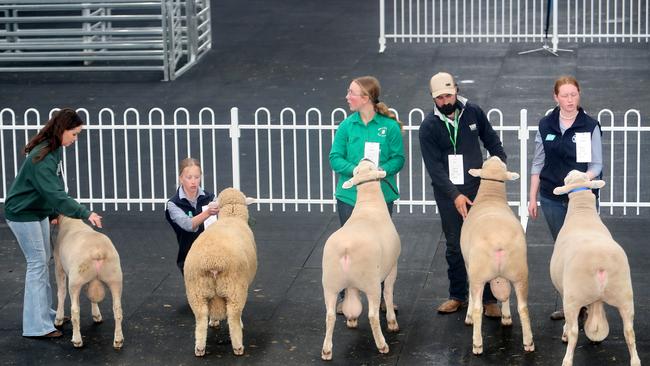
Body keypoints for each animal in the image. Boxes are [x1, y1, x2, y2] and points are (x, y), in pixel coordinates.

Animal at [53, 217, 124, 348]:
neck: (70, 221)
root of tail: (97, 251)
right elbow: (92, 297)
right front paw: (96, 315)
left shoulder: (58, 266)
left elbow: (61, 293)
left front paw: (58, 318)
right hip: (115, 278)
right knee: (117, 309)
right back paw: (118, 340)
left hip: (75, 281)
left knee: (75, 310)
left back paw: (77, 340)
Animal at [182, 189, 256, 358]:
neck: (231, 216)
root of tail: (213, 262)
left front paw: (214, 321)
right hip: (234, 289)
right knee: (233, 316)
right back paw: (238, 347)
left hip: (196, 291)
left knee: (201, 318)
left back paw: (200, 348)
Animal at [320, 159, 400, 360]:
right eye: (371, 168)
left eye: (356, 170)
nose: (366, 159)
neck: (369, 205)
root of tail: (346, 249)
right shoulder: (392, 266)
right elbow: (388, 292)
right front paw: (392, 322)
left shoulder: (352, 285)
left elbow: (353, 303)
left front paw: (352, 319)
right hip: (372, 283)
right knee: (372, 315)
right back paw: (382, 345)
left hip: (330, 284)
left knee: (330, 315)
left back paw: (326, 350)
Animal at [456, 157, 532, 354]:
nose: (495, 157)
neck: (490, 197)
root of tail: (498, 242)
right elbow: (505, 296)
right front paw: (506, 316)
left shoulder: (468, 265)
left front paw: (468, 317)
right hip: (519, 273)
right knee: (523, 308)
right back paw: (529, 342)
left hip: (478, 275)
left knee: (477, 308)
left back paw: (477, 344)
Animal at [548, 171, 636, 366]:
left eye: (567, 179)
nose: (571, 171)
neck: (582, 213)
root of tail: (600, 265)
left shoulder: (564, 291)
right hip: (624, 295)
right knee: (629, 331)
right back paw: (635, 361)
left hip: (573, 297)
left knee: (574, 332)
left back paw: (567, 358)